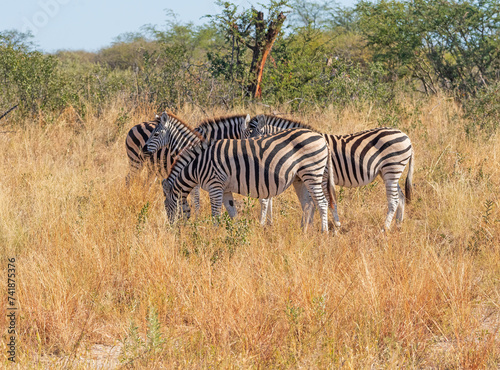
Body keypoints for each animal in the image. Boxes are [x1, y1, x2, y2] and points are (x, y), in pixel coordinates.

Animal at [164, 127, 336, 231]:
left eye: (166, 207)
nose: (173, 230)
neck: (198, 165)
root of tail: (321, 138)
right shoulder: (225, 189)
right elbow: (232, 211)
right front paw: (236, 232)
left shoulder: (215, 185)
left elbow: (216, 214)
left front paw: (214, 233)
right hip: (299, 178)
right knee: (308, 204)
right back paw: (303, 231)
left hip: (312, 173)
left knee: (322, 202)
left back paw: (324, 232)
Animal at [246, 114, 414, 230]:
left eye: (253, 139)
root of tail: (406, 136)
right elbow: (312, 202)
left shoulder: (321, 176)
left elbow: (320, 201)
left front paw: (329, 225)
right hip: (389, 172)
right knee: (400, 196)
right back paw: (398, 225)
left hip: (392, 169)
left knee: (393, 199)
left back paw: (385, 228)